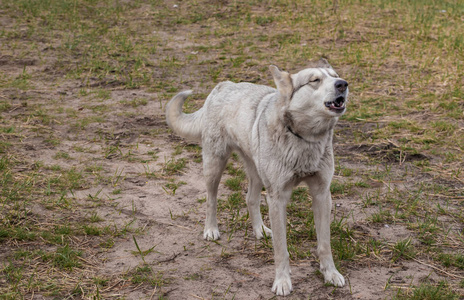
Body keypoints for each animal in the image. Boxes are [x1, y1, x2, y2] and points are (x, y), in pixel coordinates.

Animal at [165, 58, 346, 296]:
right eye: (315, 80)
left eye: (335, 76)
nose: (343, 84)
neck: (304, 138)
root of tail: (223, 85)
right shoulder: (278, 198)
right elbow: (281, 249)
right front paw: (282, 282)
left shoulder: (322, 194)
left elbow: (325, 244)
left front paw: (330, 274)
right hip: (214, 166)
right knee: (211, 200)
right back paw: (211, 230)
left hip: (256, 172)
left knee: (250, 199)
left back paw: (259, 230)